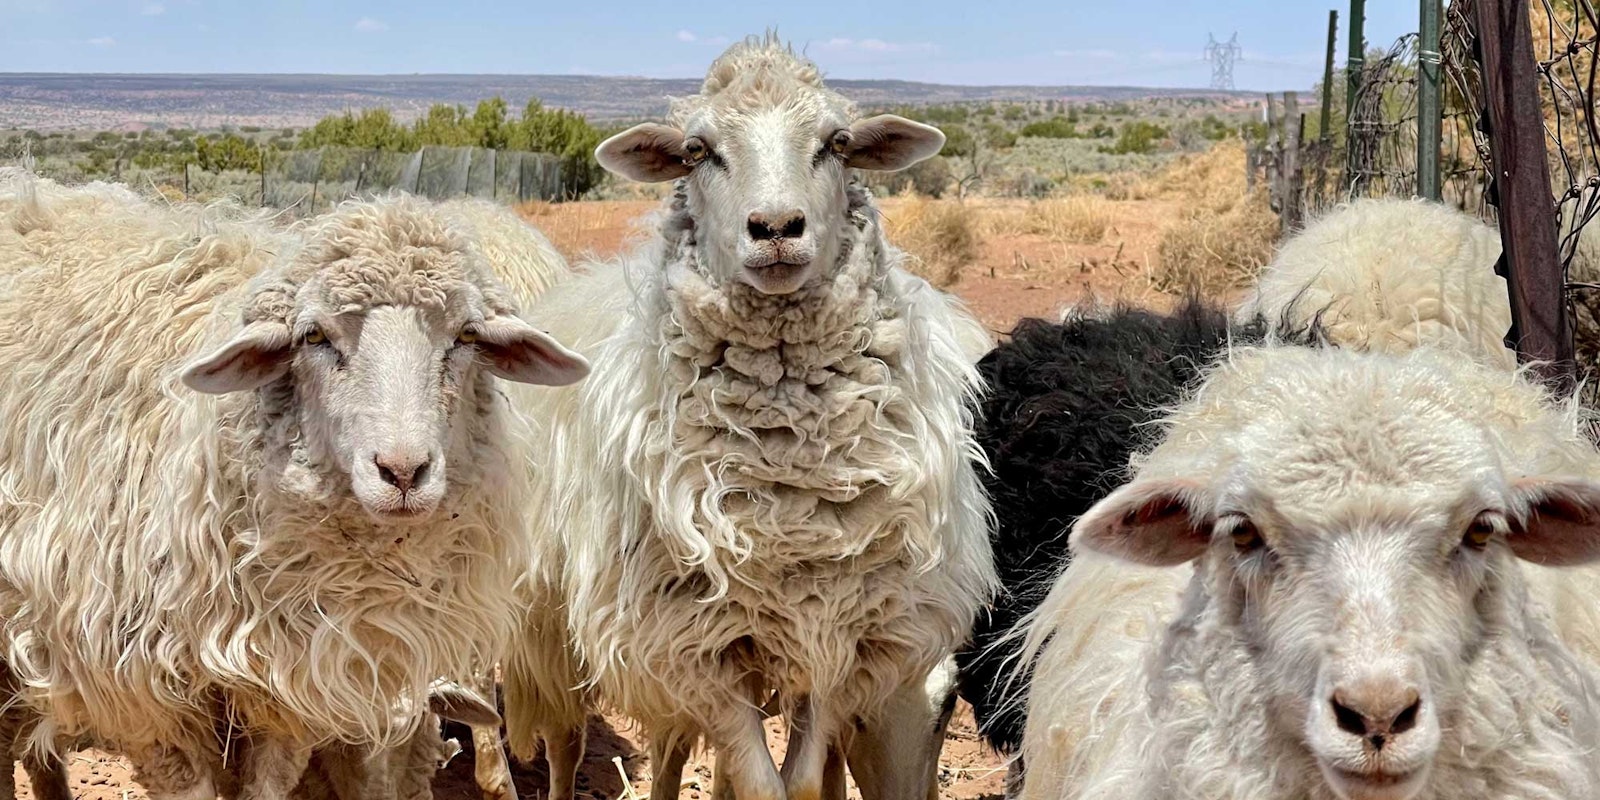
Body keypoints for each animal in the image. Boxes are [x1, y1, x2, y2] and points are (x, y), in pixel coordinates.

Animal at [500, 34, 998, 800]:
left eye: (837, 143)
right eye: (698, 150)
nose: (776, 228)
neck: (788, 462)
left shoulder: (837, 632)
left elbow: (798, 777)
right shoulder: (690, 644)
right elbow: (759, 782)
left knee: (674, 745)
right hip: (556, 625)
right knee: (573, 735)